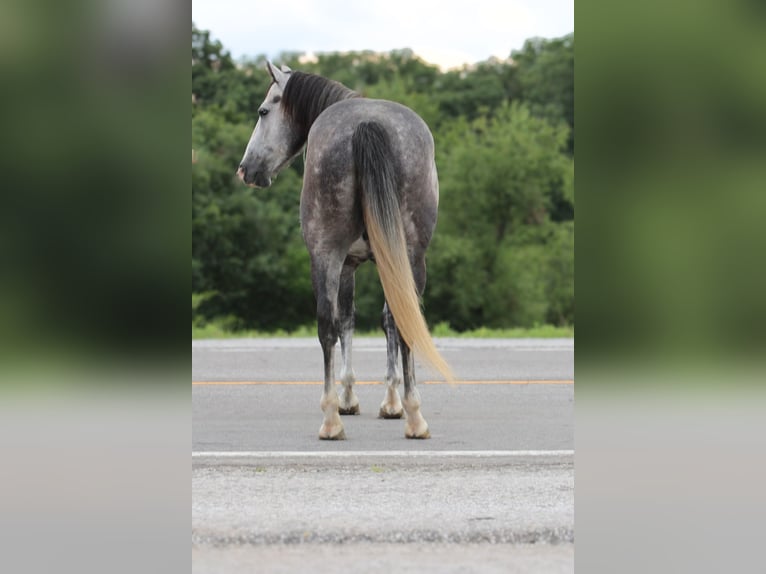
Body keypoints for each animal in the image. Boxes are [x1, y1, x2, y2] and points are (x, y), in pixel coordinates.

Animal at [237, 62, 452, 440]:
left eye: (263, 111)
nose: (245, 169)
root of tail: (367, 125)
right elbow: (379, 320)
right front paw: (386, 402)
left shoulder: (348, 263)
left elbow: (350, 321)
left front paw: (354, 398)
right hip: (405, 255)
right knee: (394, 321)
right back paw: (410, 417)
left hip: (329, 254)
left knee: (329, 324)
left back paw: (334, 418)